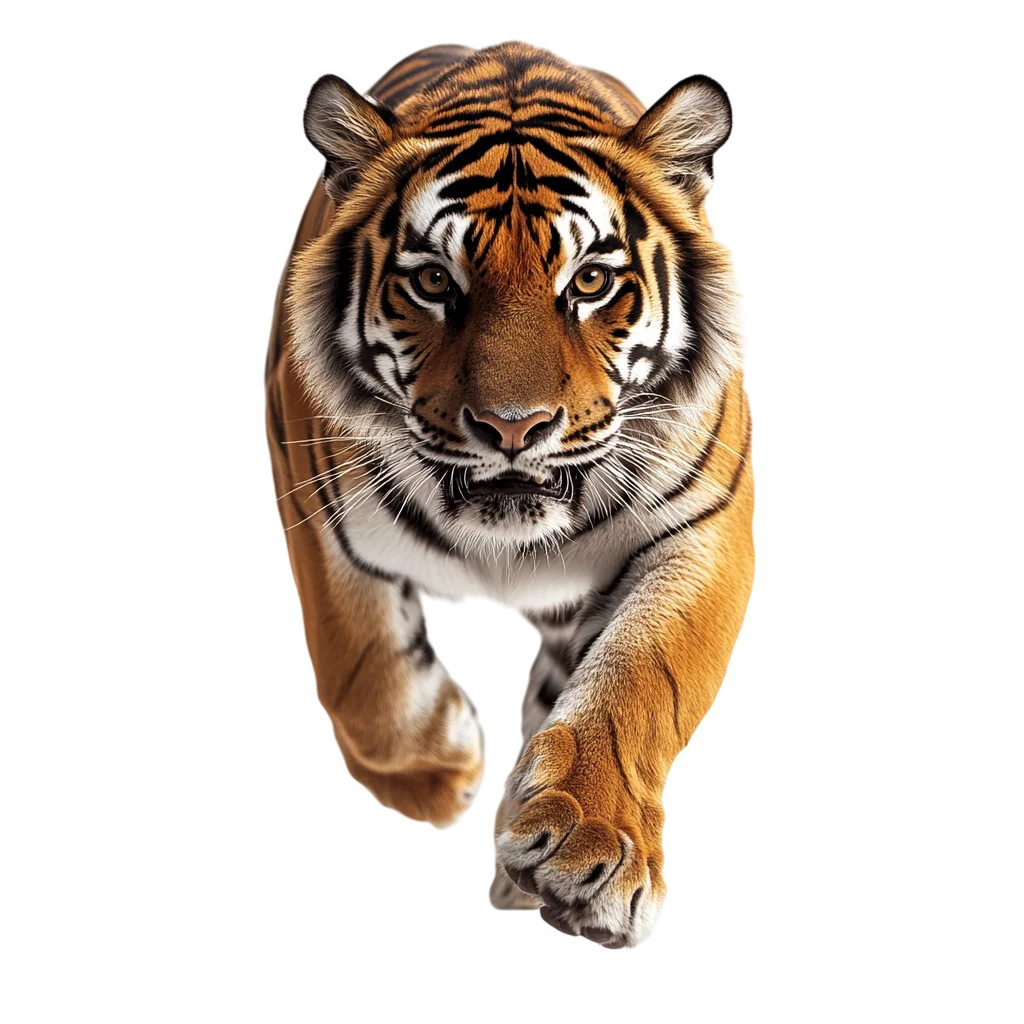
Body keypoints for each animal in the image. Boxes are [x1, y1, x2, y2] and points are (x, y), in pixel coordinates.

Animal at [264, 40, 755, 950]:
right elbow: (359, 667)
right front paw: (435, 765)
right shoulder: (310, 479)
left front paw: (590, 848)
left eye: (590, 282)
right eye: (432, 282)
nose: (513, 427)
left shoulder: (705, 526)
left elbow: (643, 677)